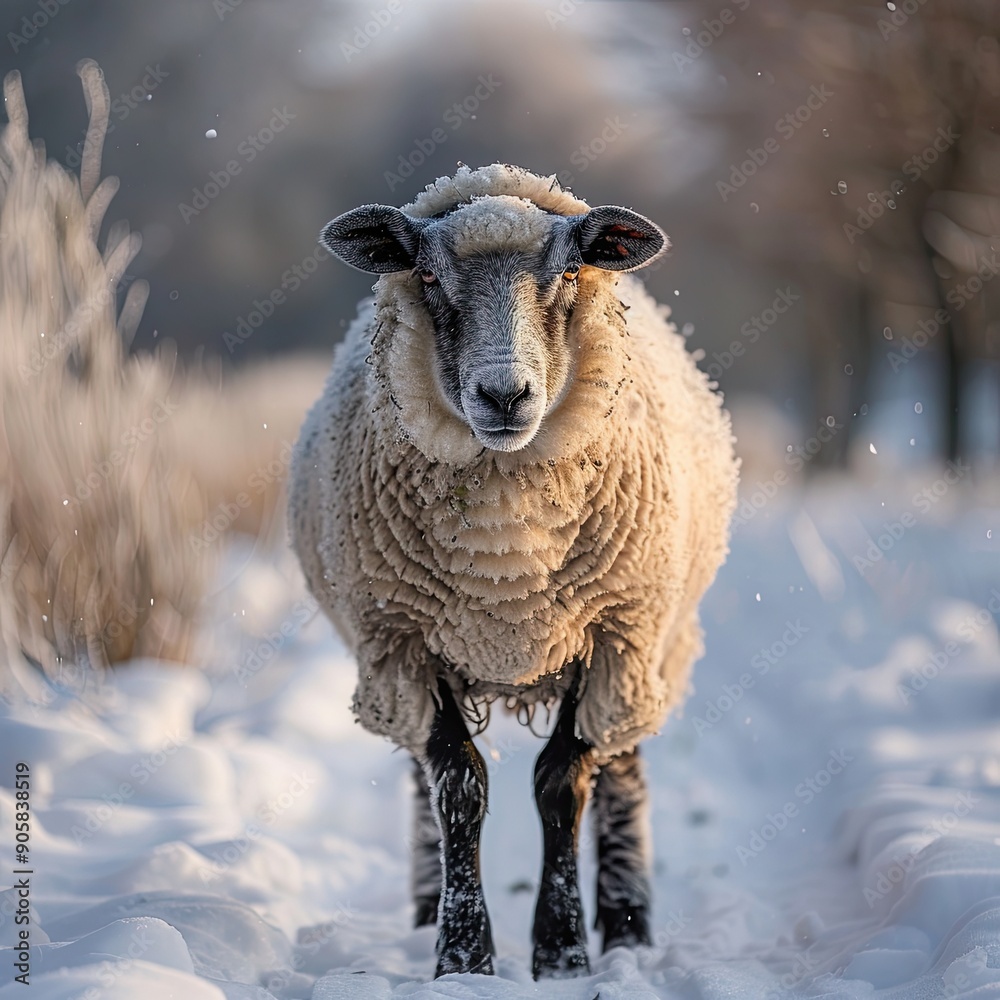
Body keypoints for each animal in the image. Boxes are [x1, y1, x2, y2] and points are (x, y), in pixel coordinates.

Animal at [289, 162, 738, 979]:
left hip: (650, 643)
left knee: (623, 766)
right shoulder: (403, 642)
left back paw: (628, 924)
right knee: (419, 775)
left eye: (568, 273)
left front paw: (562, 951)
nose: (504, 395)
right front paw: (462, 954)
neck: (508, 559)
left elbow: (562, 783)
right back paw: (424, 909)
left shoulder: (611, 633)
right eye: (427, 276)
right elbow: (457, 784)